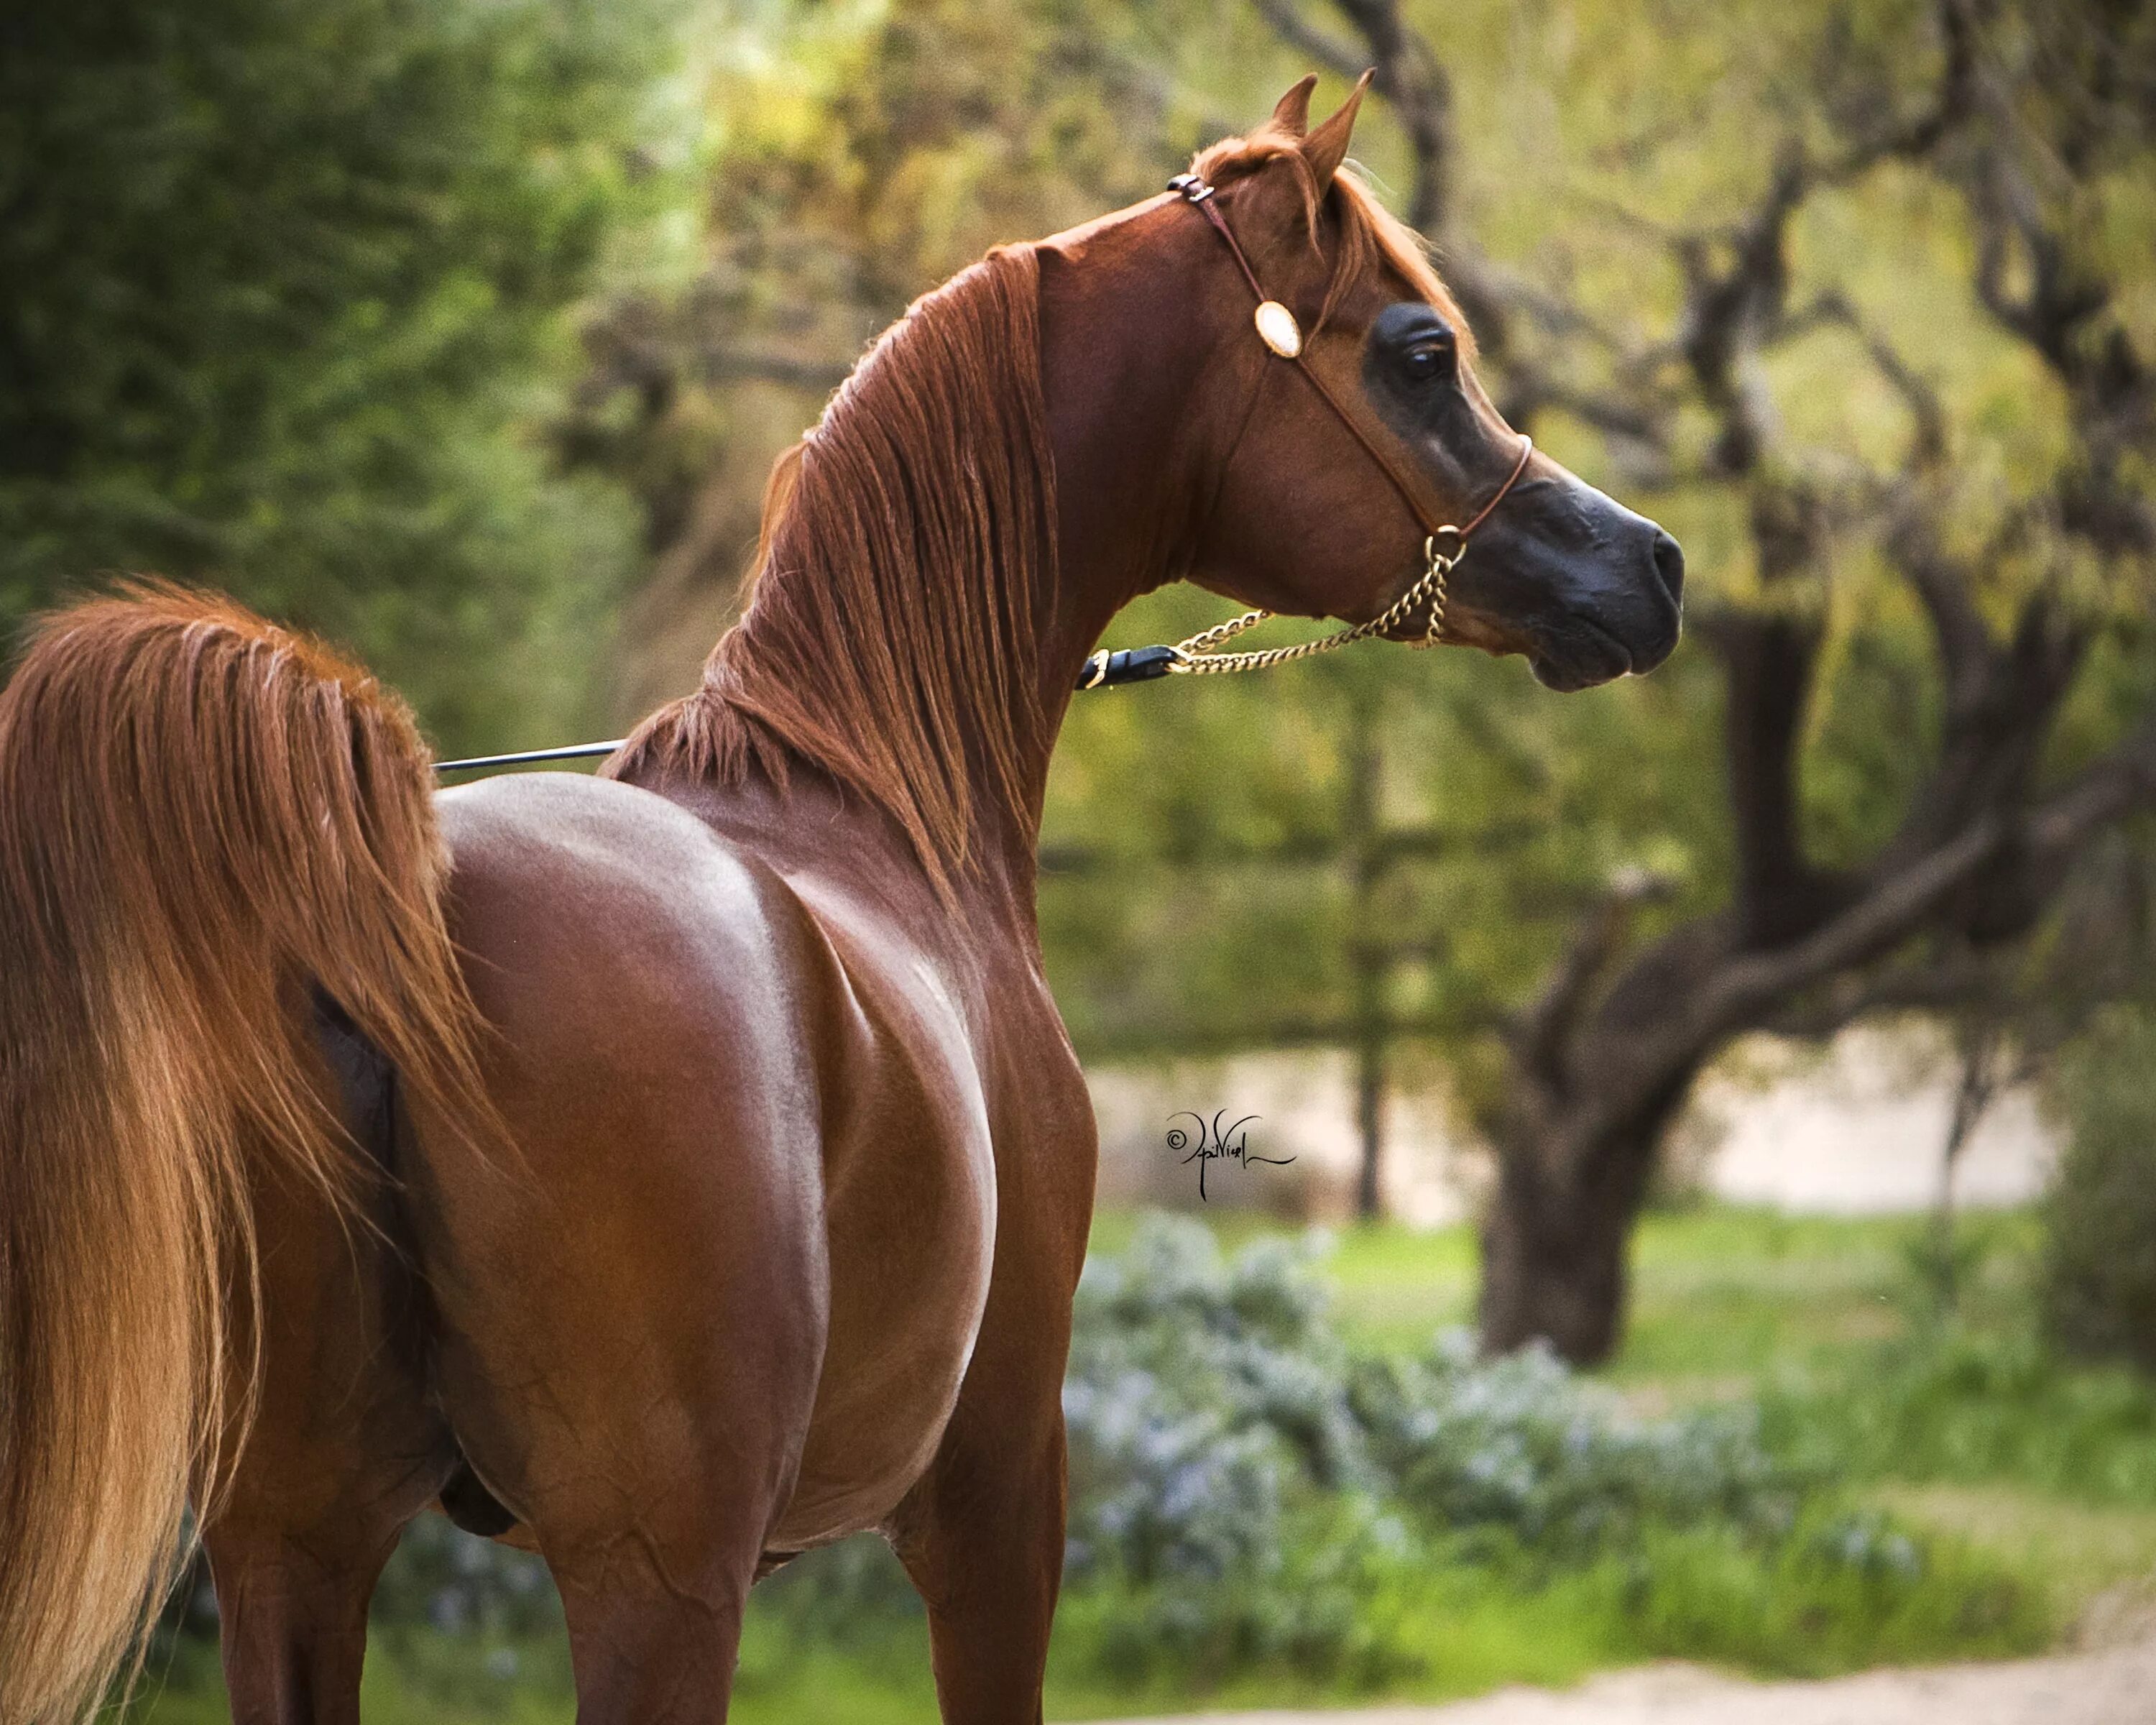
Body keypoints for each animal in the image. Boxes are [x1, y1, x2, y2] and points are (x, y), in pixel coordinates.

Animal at [0, 80, 1673, 1725]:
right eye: (1420, 351)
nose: (1646, 566)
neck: (874, 803)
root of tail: (395, 908)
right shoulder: (998, 1497)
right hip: (656, 1576)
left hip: (299, 1548)